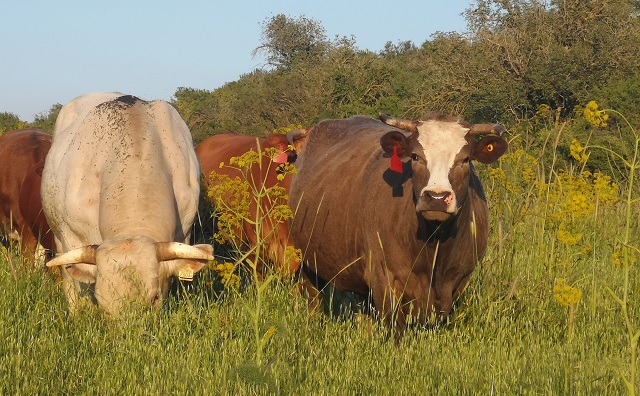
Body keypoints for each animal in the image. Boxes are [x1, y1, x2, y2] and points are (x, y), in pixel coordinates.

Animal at [288, 113, 508, 332]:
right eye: (415, 156)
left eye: (466, 159)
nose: (436, 197)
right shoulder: (383, 276)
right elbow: (396, 328)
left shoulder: (458, 279)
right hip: (305, 259)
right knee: (313, 297)